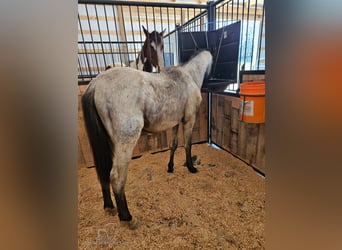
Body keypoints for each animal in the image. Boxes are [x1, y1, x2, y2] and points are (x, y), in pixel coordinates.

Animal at [81, 50, 212, 229]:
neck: (188, 76)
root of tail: (96, 83)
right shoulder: (189, 120)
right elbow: (187, 144)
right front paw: (191, 167)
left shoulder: (175, 122)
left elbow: (173, 145)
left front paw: (170, 167)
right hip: (126, 141)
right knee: (116, 176)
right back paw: (127, 218)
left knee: (104, 172)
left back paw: (109, 207)